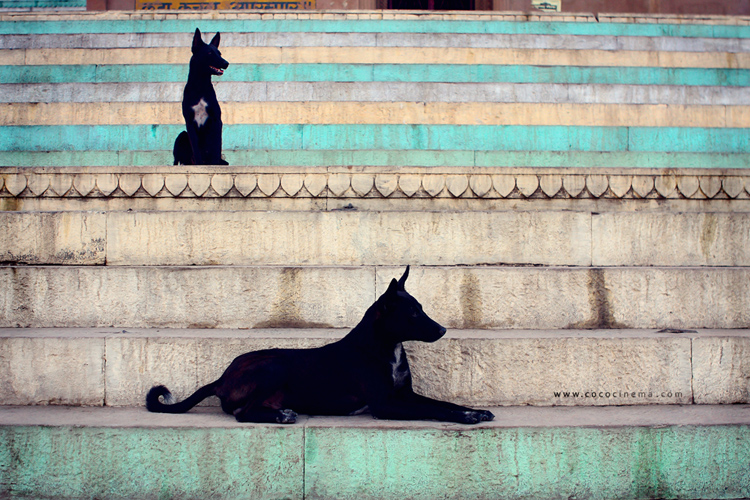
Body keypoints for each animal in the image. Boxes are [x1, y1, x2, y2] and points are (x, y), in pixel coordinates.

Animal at [149, 268, 496, 424]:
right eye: (412, 312)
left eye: (420, 308)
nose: (442, 329)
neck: (384, 347)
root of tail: (221, 378)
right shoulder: (385, 404)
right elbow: (432, 410)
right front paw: (466, 417)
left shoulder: (405, 395)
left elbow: (444, 403)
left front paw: (473, 410)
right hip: (273, 367)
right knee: (243, 414)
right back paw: (280, 417)